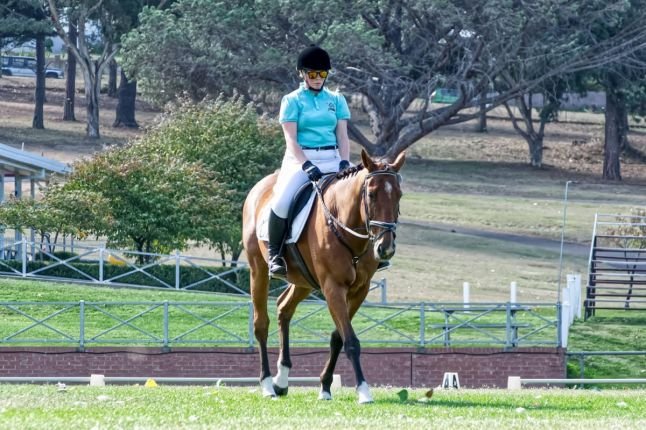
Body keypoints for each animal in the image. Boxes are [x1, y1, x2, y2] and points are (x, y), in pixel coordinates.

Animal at [242, 148, 405, 403]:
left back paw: (282, 379)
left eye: (398, 195)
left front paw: (325, 386)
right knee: (261, 324)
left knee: (284, 308)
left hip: (303, 282)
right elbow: (351, 340)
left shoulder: (360, 289)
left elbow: (339, 337)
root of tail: (260, 187)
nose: (385, 248)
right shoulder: (332, 287)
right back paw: (268, 385)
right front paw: (363, 390)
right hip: (258, 270)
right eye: (371, 194)